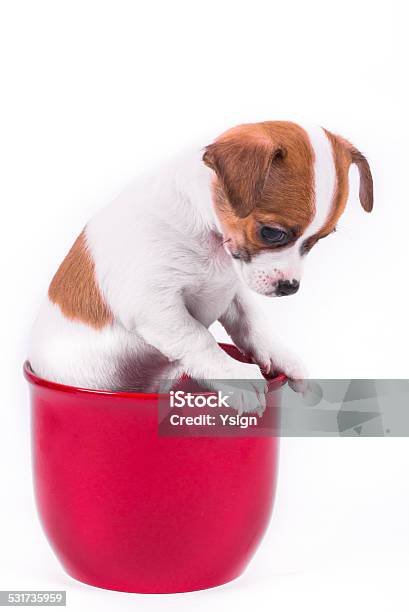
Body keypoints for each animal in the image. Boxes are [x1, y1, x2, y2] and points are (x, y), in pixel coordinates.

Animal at [28, 120, 372, 412]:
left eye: (320, 240)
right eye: (272, 233)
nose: (289, 288)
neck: (211, 240)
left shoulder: (233, 292)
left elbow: (253, 324)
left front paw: (280, 354)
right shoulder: (155, 305)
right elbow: (199, 339)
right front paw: (235, 375)